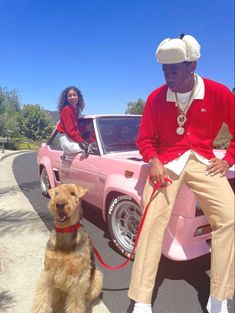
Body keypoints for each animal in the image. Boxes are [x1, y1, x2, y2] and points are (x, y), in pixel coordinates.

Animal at [31, 183, 103, 312]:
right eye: (57, 193)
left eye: (73, 193)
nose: (59, 204)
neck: (64, 232)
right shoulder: (48, 272)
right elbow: (42, 298)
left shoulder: (78, 279)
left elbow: (75, 304)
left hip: (98, 277)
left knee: (86, 298)